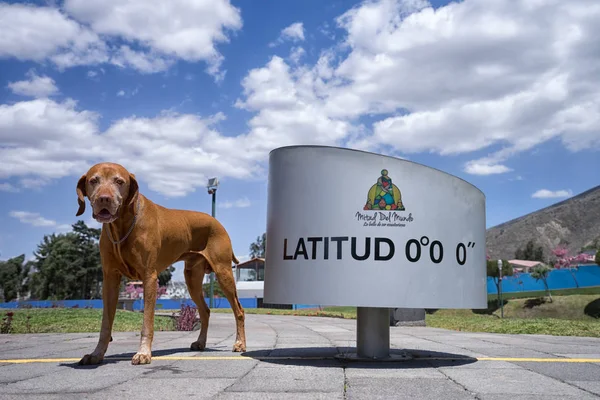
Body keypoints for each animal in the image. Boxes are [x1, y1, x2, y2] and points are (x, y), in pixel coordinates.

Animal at [74, 162, 246, 366]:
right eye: (94, 180)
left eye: (119, 181)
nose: (104, 199)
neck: (122, 225)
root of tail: (217, 221)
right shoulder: (110, 279)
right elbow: (105, 324)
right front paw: (97, 353)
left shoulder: (149, 277)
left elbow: (147, 322)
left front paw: (143, 353)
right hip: (192, 279)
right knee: (205, 310)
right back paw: (201, 342)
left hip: (223, 273)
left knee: (239, 310)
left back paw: (240, 344)